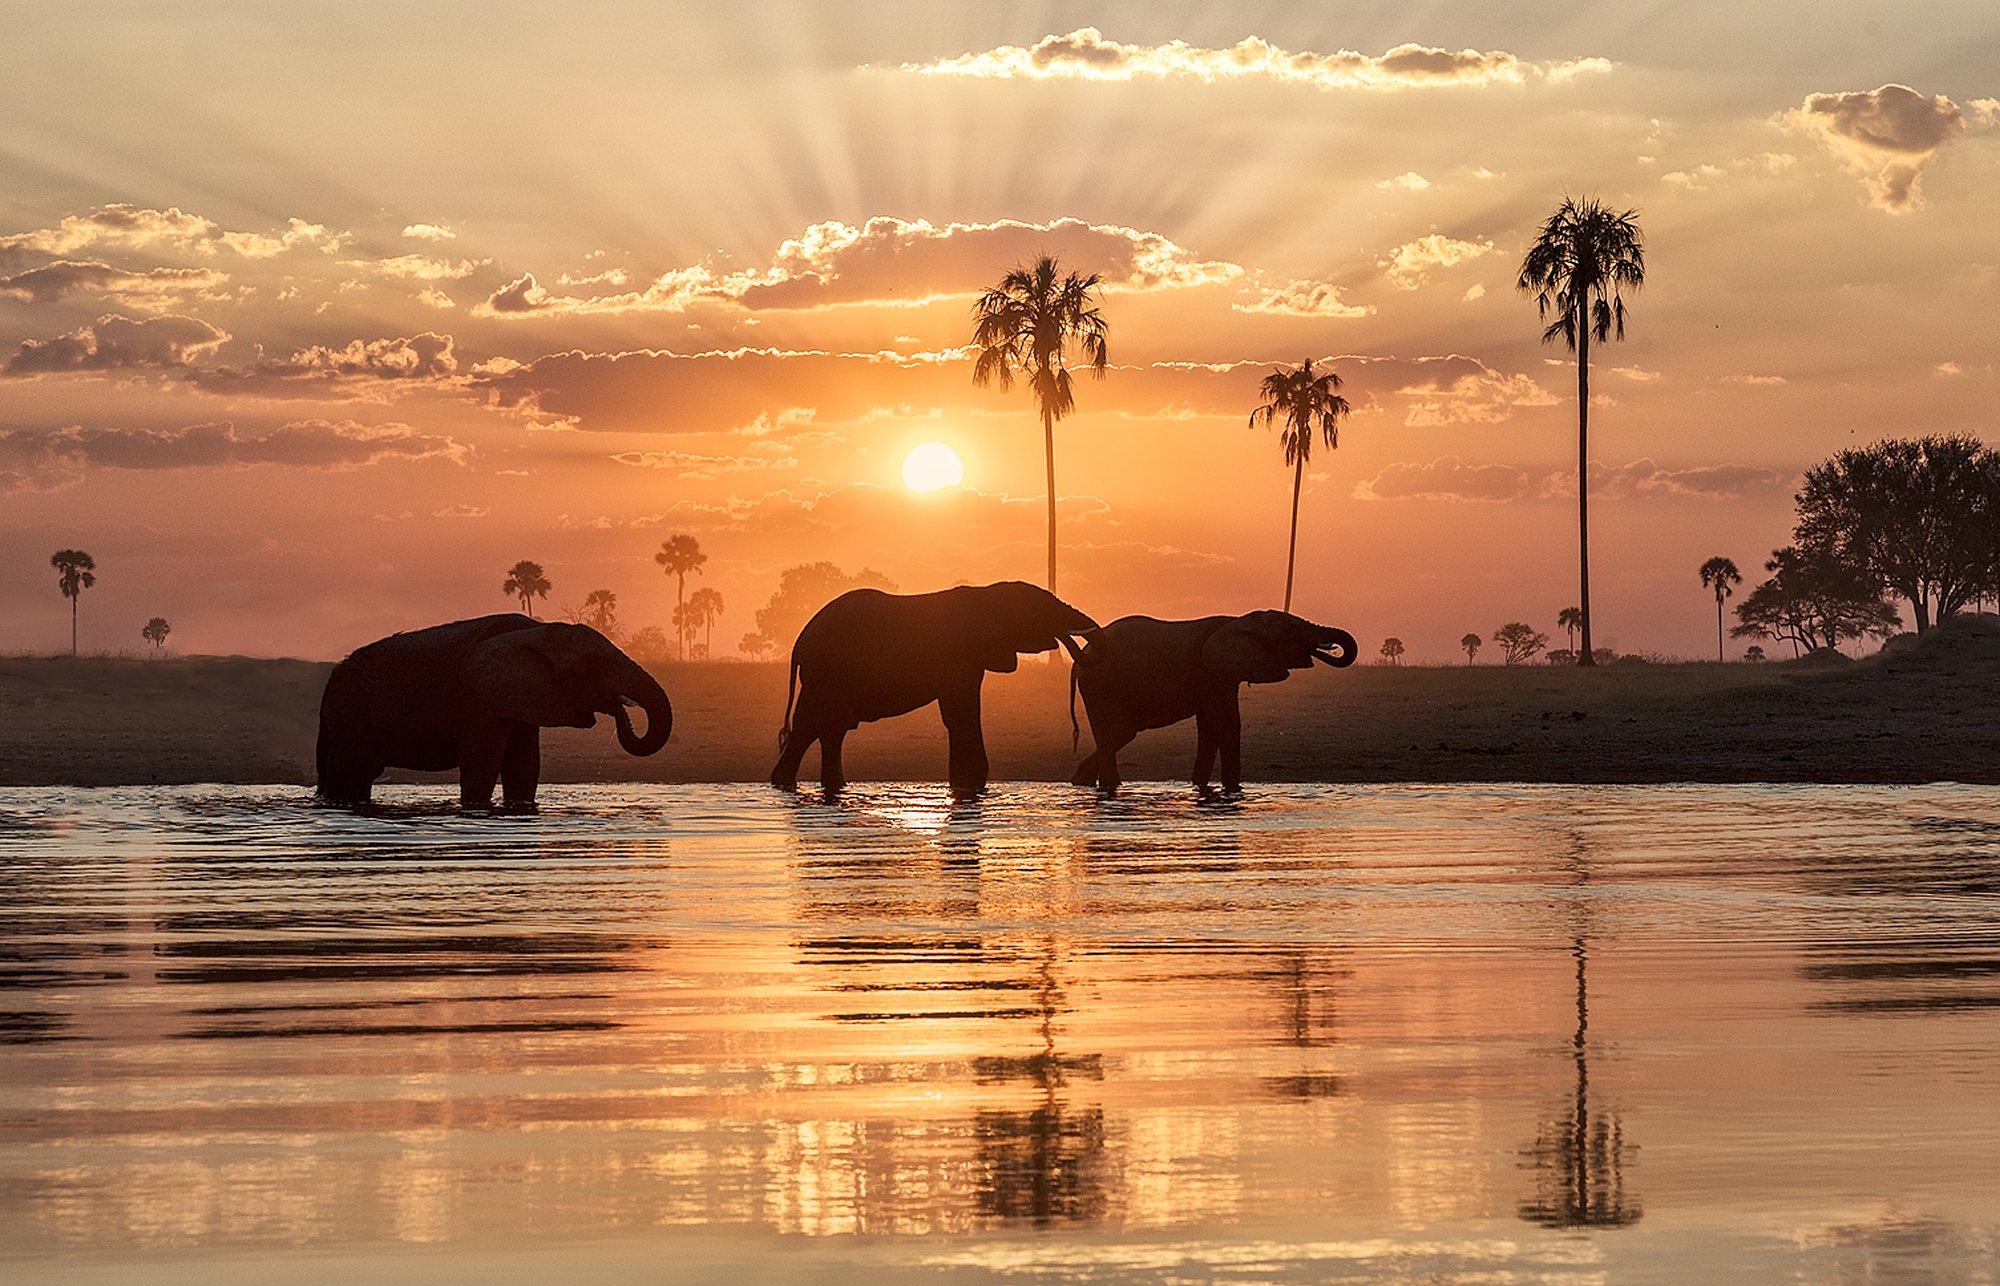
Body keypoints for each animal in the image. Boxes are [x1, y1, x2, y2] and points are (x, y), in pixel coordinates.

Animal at [316, 614, 672, 810]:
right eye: (590, 666)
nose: (618, 709)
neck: (536, 631)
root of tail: (332, 677)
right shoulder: (481, 701)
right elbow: (483, 766)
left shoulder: (521, 699)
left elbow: (524, 767)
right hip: (351, 714)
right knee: (359, 771)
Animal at [769, 581, 1102, 796]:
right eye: (1040, 611)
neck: (986, 592)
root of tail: (800, 641)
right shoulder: (960, 655)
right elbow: (962, 714)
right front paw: (972, 786)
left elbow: (957, 717)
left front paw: (964, 788)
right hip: (829, 674)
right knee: (827, 728)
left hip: (821, 678)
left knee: (810, 728)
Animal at [1069, 610, 1358, 792]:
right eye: (1290, 629)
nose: (1325, 648)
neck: (1238, 621)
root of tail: (1079, 658)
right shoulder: (1214, 671)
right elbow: (1227, 724)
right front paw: (1232, 790)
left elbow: (1209, 727)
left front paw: (1200, 787)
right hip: (1099, 684)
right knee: (1114, 733)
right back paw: (1107, 786)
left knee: (1121, 734)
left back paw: (1081, 782)